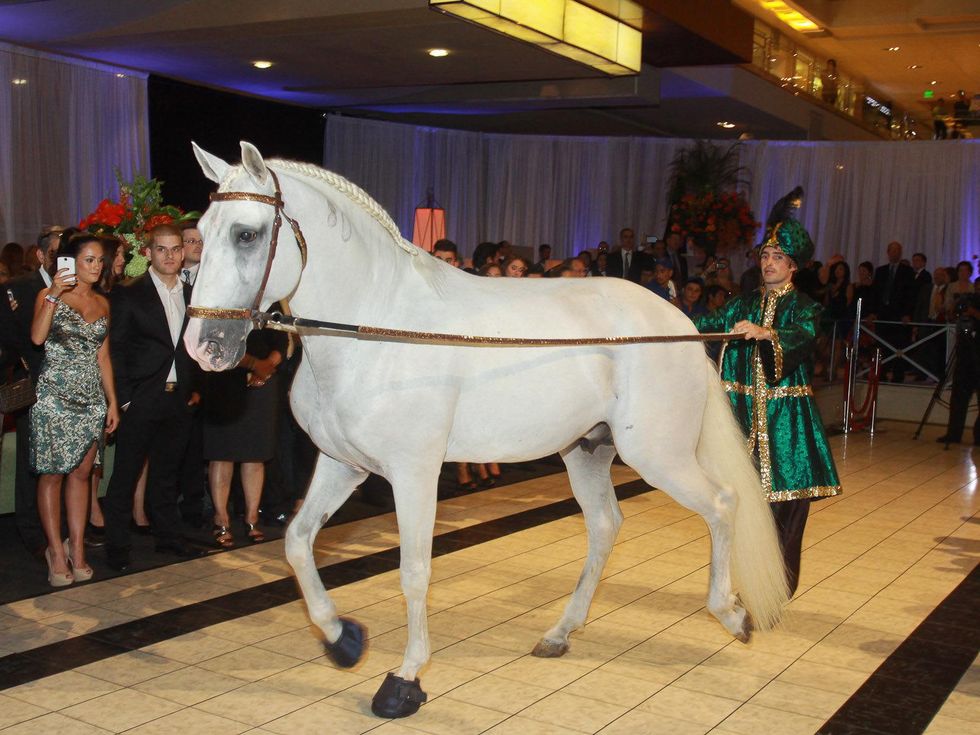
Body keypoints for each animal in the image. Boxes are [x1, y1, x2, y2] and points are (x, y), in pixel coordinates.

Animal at [184, 141, 789, 718]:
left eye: (246, 233)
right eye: (200, 235)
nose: (203, 346)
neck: (377, 327)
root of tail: (681, 325)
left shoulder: (414, 473)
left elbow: (414, 571)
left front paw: (404, 682)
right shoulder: (344, 466)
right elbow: (297, 542)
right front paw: (343, 640)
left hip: (658, 454)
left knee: (723, 504)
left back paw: (733, 614)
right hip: (587, 450)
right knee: (605, 525)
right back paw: (559, 633)